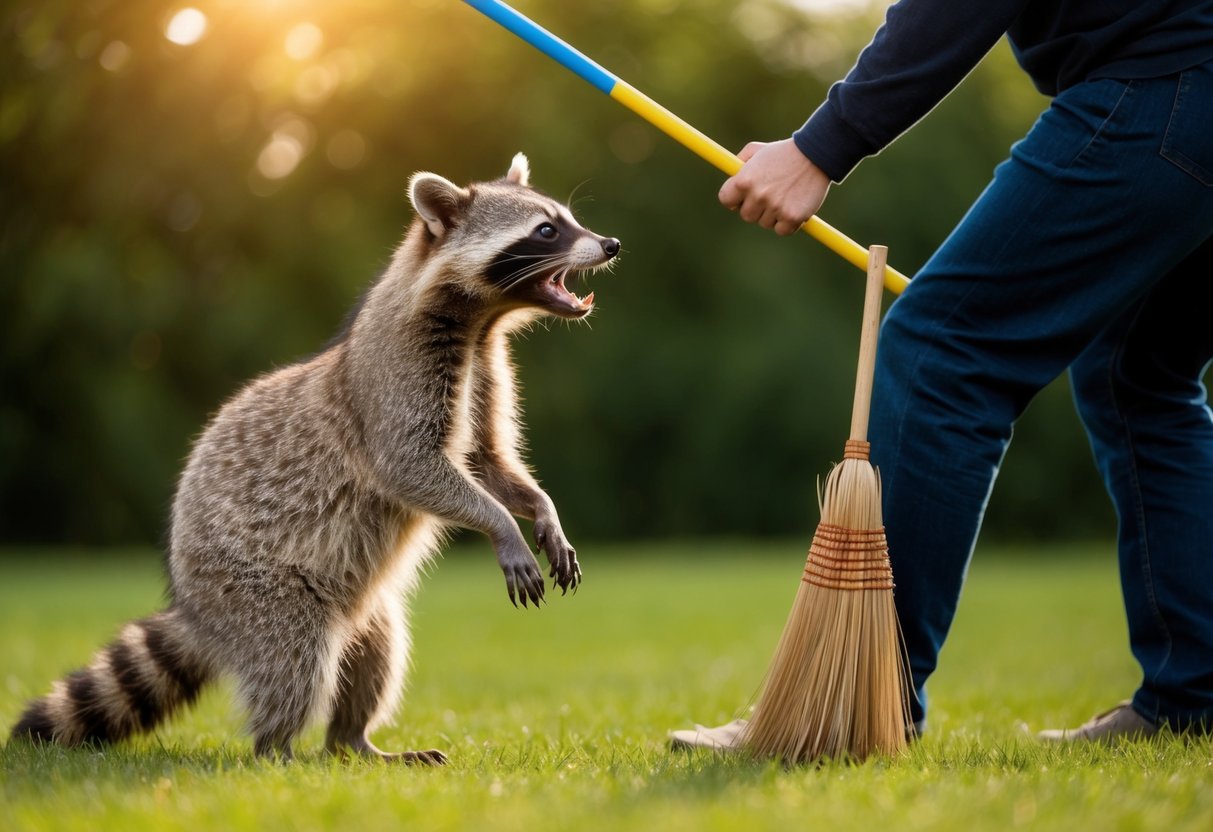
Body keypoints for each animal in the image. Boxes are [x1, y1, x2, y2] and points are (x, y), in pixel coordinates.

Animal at [9, 154, 620, 762]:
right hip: (251, 587)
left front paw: (540, 510)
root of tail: (193, 608)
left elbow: (489, 460)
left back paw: (353, 739)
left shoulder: (487, 372)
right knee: (295, 657)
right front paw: (501, 526)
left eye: (567, 219)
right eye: (546, 231)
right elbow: (411, 466)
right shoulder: (397, 377)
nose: (611, 243)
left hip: (359, 604)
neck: (480, 321)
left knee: (377, 648)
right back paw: (276, 749)